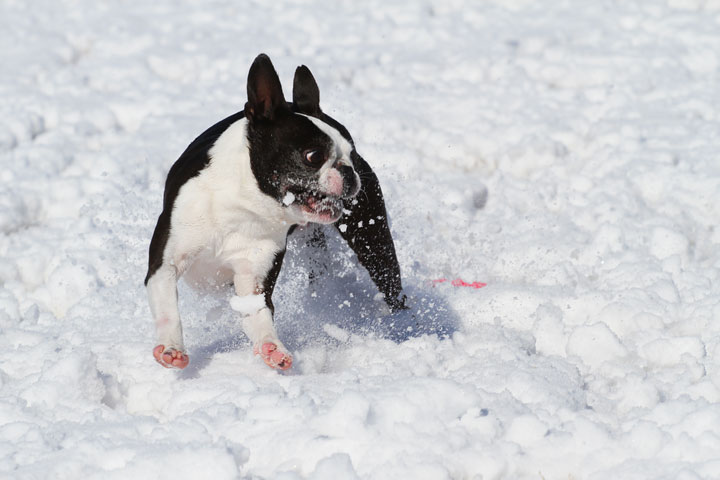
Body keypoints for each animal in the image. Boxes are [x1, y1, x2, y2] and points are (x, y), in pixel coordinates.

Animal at [144, 54, 408, 370]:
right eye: (313, 156)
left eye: (352, 153)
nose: (349, 170)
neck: (244, 203)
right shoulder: (165, 263)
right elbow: (168, 308)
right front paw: (171, 348)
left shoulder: (254, 275)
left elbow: (258, 314)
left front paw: (271, 346)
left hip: (370, 235)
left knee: (388, 278)